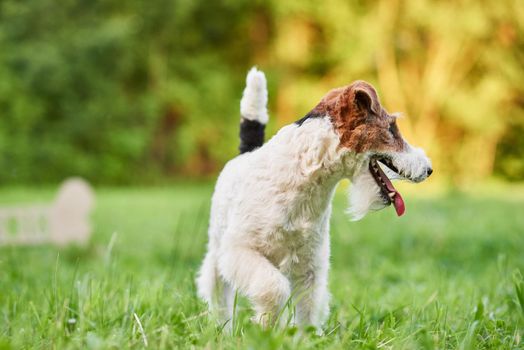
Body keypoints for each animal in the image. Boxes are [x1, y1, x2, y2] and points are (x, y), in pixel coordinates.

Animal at [194, 67, 432, 330]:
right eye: (391, 128)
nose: (429, 169)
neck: (306, 174)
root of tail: (246, 152)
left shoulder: (310, 266)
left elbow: (306, 311)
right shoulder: (239, 249)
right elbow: (274, 288)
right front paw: (267, 325)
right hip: (218, 252)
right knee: (219, 296)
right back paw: (223, 330)